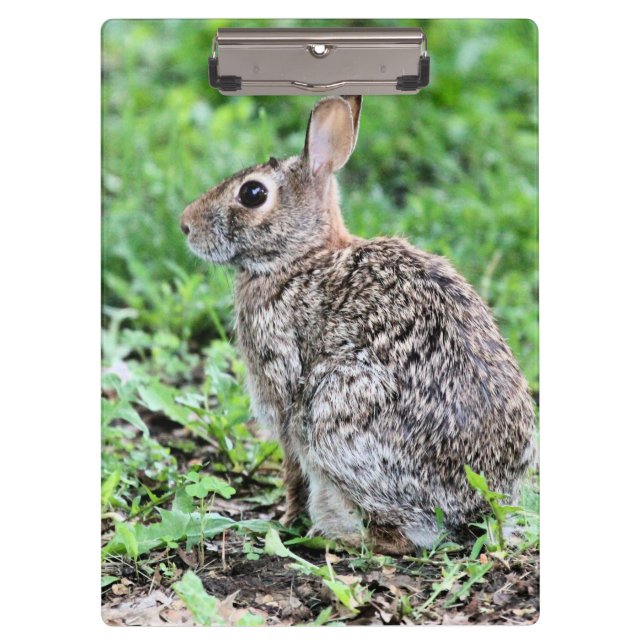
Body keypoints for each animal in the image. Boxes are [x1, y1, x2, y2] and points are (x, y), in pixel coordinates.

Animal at [179, 95, 536, 554]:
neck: (300, 258)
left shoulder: (283, 395)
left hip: (337, 413)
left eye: (253, 193)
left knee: (396, 536)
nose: (185, 224)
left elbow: (291, 468)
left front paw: (286, 519)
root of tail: (476, 501)